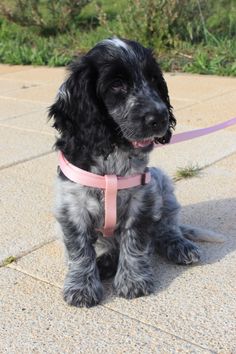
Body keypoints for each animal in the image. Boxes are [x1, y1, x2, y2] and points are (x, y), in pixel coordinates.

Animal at [48, 37, 224, 306]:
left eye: (153, 80)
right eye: (117, 84)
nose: (160, 118)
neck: (112, 155)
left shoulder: (142, 199)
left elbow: (136, 241)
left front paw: (133, 281)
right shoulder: (71, 207)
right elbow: (79, 250)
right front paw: (81, 287)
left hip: (162, 183)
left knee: (166, 228)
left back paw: (179, 246)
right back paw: (105, 262)